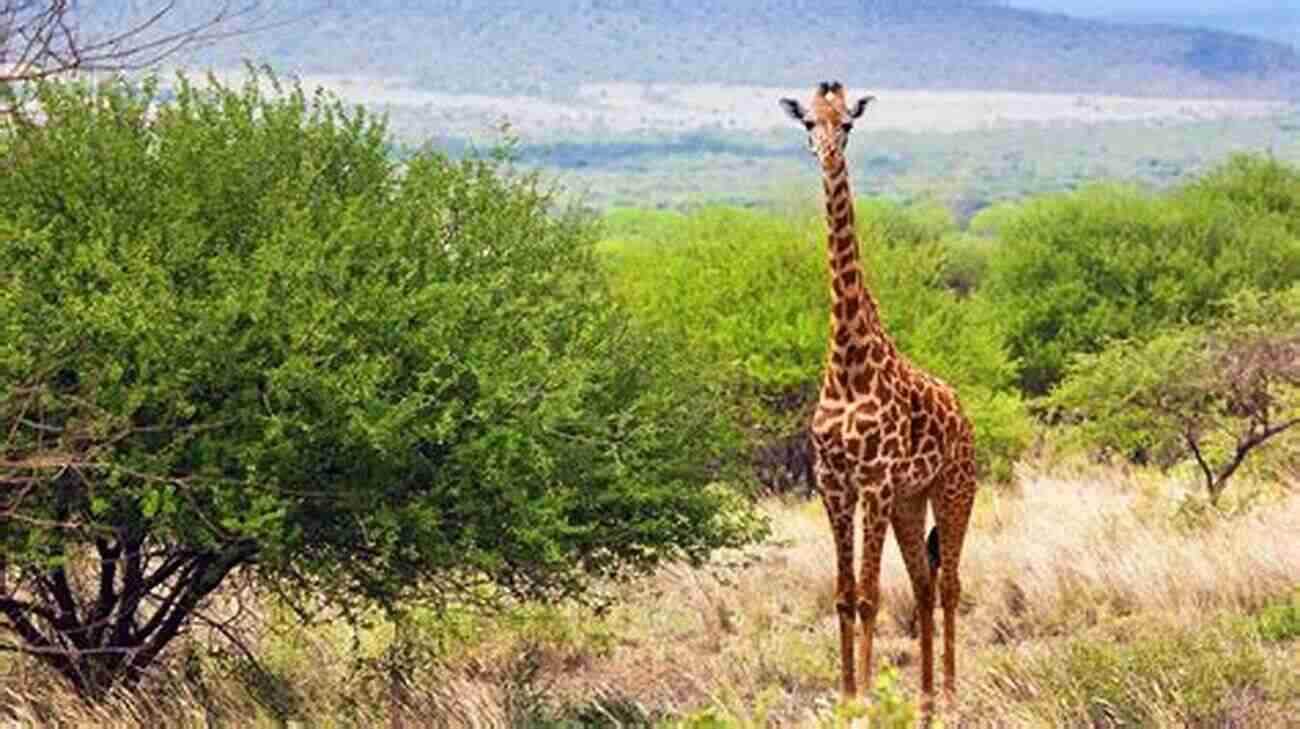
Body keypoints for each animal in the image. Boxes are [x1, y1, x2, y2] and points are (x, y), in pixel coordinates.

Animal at [780, 80, 977, 712]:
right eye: (808, 123)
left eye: (848, 125)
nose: (826, 156)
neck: (847, 363)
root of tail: (964, 412)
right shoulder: (834, 484)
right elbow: (845, 595)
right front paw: (846, 695)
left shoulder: (874, 483)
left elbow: (867, 595)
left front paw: (866, 698)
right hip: (911, 503)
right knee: (922, 582)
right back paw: (924, 702)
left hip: (954, 487)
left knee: (950, 583)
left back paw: (951, 696)